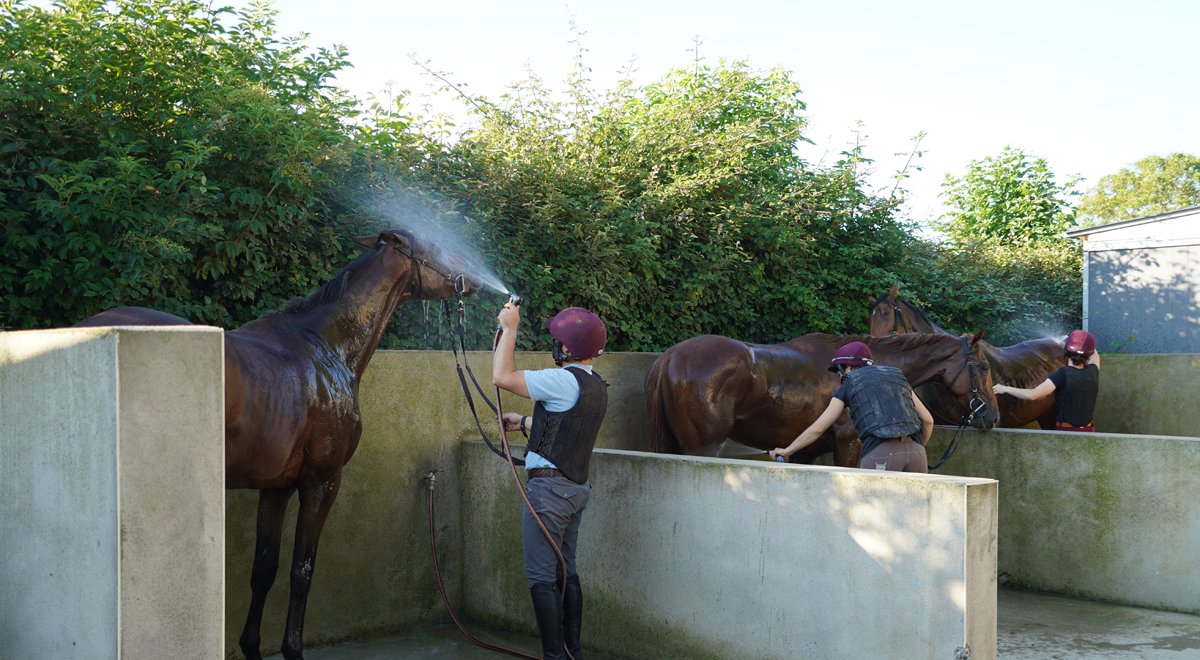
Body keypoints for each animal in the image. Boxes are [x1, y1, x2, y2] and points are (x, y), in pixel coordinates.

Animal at [76, 229, 479, 660]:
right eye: (437, 246)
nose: (472, 280)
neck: (325, 347)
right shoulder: (321, 482)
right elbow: (301, 569)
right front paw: (293, 649)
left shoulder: (276, 487)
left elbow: (264, 569)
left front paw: (251, 646)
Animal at [644, 332, 999, 466]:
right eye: (983, 367)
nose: (993, 417)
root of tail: (672, 355)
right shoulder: (849, 444)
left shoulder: (806, 452)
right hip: (703, 447)